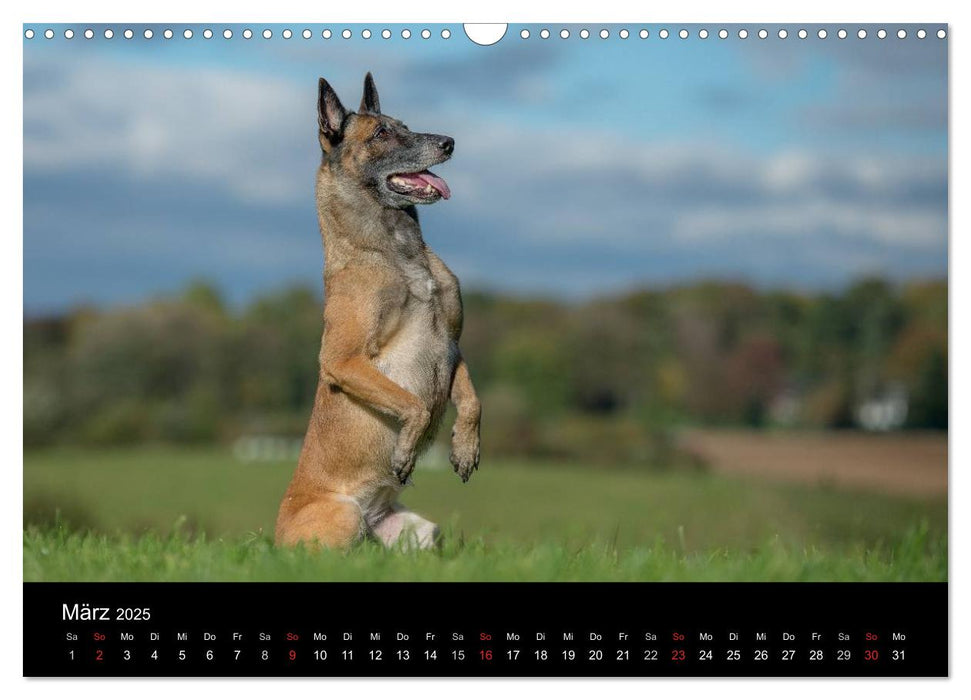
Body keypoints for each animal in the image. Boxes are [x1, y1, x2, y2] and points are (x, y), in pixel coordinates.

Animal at [276, 74, 480, 548]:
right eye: (382, 134)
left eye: (403, 124)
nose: (449, 142)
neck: (397, 253)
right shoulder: (342, 361)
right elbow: (414, 404)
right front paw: (407, 449)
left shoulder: (453, 345)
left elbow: (472, 400)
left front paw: (465, 448)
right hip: (345, 516)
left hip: (423, 532)